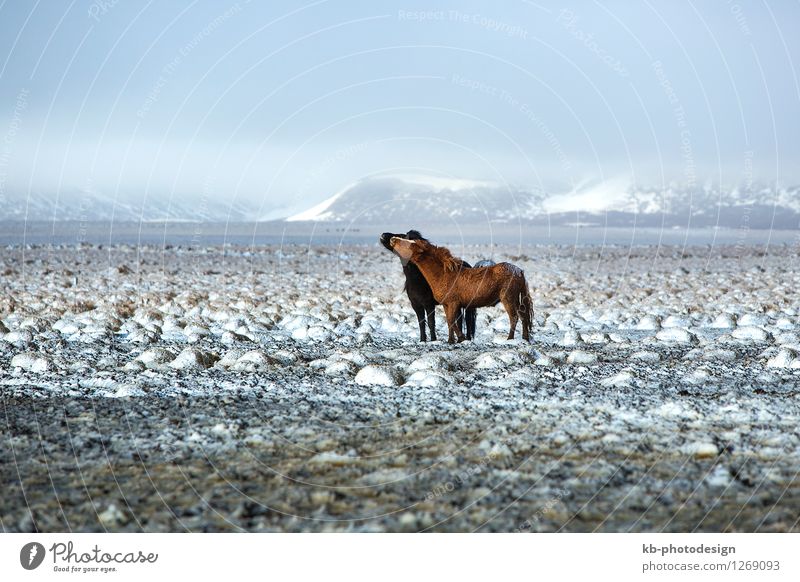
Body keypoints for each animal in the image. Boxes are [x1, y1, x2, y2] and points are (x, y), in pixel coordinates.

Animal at [390, 237, 536, 344]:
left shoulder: (453, 303)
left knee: (514, 317)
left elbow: (452, 321)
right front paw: (451, 341)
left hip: (508, 298)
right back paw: (525, 338)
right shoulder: (446, 305)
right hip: (516, 299)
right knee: (523, 316)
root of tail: (519, 271)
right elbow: (449, 322)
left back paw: (510, 338)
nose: (392, 239)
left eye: (411, 244)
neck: (443, 275)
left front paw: (462, 338)